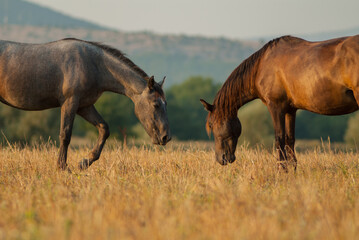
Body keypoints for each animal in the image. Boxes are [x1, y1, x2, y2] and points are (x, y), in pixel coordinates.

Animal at [0, 38, 172, 171]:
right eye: (156, 104)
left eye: (166, 104)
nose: (166, 137)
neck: (94, 65)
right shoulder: (70, 102)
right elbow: (65, 135)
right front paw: (62, 167)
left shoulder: (85, 106)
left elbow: (104, 129)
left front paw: (84, 162)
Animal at [201, 35, 359, 171]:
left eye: (212, 125)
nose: (221, 159)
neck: (261, 66)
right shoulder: (290, 110)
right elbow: (290, 140)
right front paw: (292, 170)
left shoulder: (276, 107)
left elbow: (279, 138)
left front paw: (281, 170)